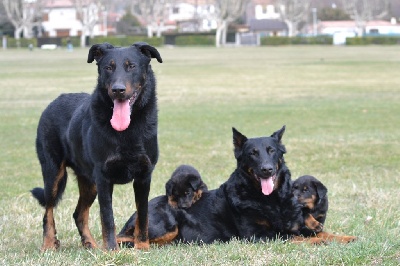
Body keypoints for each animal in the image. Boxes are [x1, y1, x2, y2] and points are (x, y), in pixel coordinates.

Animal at [30, 42, 162, 251]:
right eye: (108, 67)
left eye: (131, 66)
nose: (118, 89)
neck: (127, 130)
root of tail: (53, 102)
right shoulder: (103, 177)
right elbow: (107, 218)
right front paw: (112, 250)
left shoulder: (144, 176)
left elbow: (143, 215)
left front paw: (142, 247)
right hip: (54, 174)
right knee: (48, 210)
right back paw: (49, 244)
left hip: (88, 182)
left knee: (78, 214)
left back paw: (91, 244)